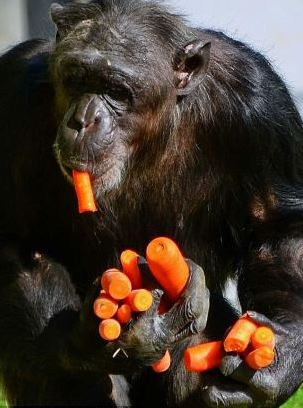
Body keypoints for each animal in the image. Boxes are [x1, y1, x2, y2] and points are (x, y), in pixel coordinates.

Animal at [0, 0, 303, 406]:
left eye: (117, 90)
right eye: (77, 78)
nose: (83, 120)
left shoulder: (262, 107)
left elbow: (277, 230)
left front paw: (281, 359)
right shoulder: (12, 98)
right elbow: (16, 247)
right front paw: (102, 340)